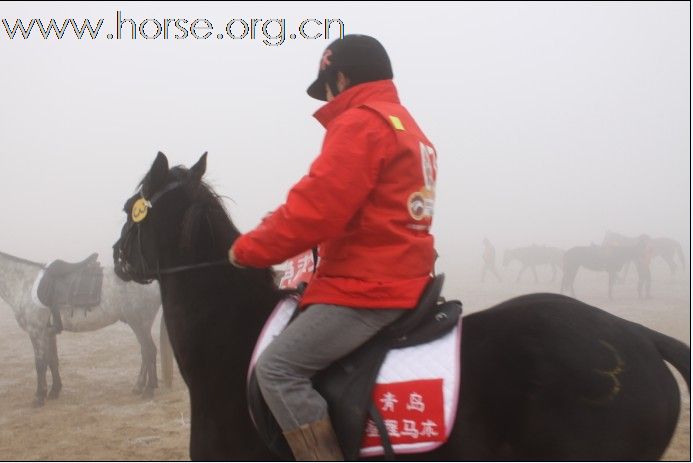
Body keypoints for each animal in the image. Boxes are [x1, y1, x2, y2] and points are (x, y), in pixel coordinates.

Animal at [0, 250, 171, 406]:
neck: (23, 283)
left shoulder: (36, 331)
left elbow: (40, 363)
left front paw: (39, 397)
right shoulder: (48, 333)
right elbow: (52, 360)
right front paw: (54, 391)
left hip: (139, 323)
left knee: (149, 351)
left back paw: (148, 390)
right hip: (139, 324)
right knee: (145, 352)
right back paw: (139, 386)